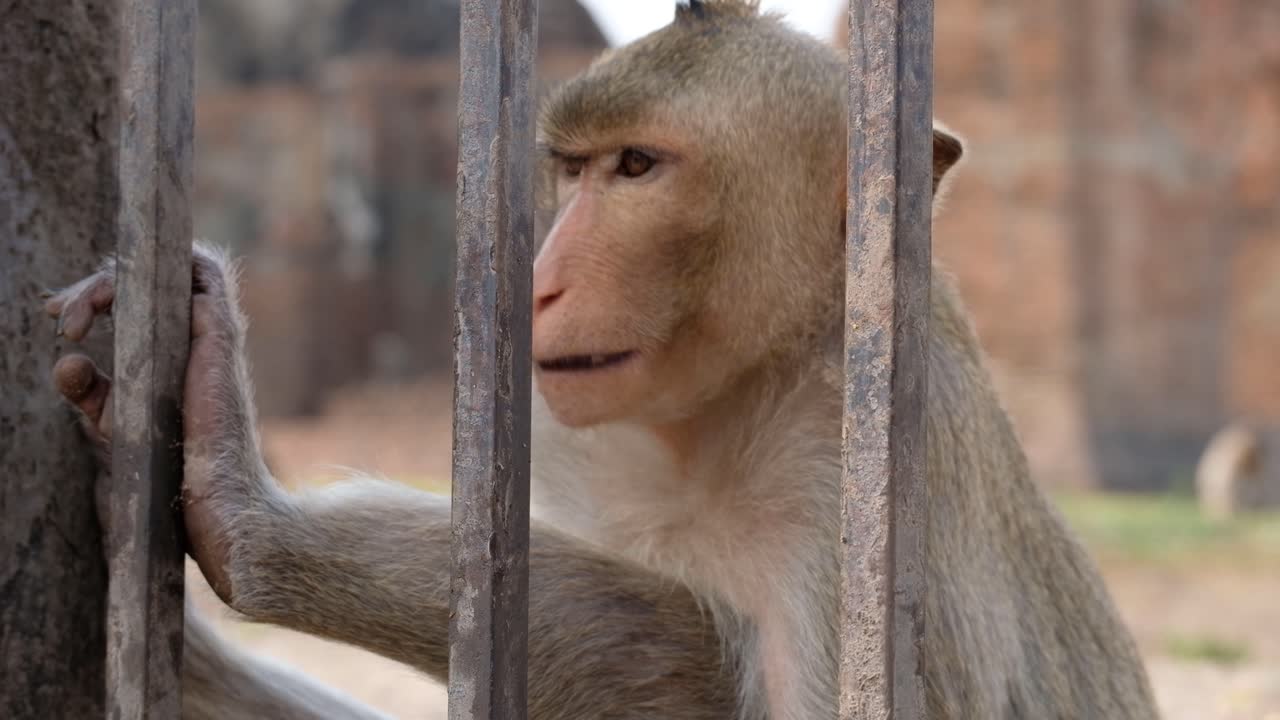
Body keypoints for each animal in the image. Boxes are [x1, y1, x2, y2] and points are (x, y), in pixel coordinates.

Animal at [44, 2, 1159, 718]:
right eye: (573, 169)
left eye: (636, 167)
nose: (536, 281)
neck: (733, 405)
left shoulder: (854, 490)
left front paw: (236, 504)